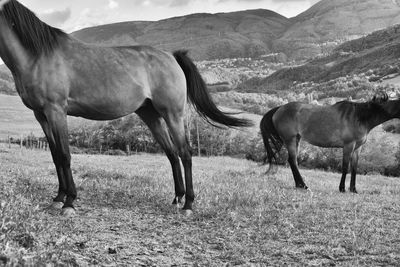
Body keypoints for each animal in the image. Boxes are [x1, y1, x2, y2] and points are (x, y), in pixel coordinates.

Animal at [0, 0, 252, 217]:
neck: (38, 56)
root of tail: (172, 57)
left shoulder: (56, 112)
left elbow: (64, 154)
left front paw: (69, 202)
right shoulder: (41, 115)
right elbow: (55, 156)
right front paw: (58, 198)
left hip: (173, 114)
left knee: (185, 153)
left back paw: (188, 204)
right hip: (151, 116)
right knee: (172, 153)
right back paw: (176, 199)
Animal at [260, 93, 400, 194]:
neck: (360, 117)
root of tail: (279, 108)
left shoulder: (357, 148)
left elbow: (354, 168)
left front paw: (353, 189)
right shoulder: (348, 145)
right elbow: (345, 167)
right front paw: (342, 188)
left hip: (296, 139)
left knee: (292, 161)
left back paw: (300, 185)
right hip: (290, 140)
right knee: (293, 161)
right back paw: (304, 185)